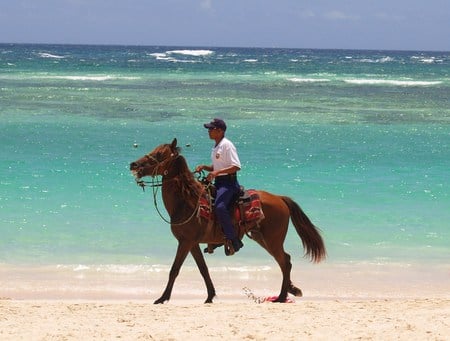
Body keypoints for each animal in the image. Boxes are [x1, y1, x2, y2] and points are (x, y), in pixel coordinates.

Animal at [128, 138, 326, 302]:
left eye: (159, 154)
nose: (133, 164)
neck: (187, 201)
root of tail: (280, 198)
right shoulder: (192, 243)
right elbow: (203, 269)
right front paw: (210, 296)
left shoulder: (185, 242)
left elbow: (174, 270)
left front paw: (162, 298)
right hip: (262, 238)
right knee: (285, 261)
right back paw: (291, 290)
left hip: (272, 240)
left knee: (285, 262)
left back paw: (282, 296)